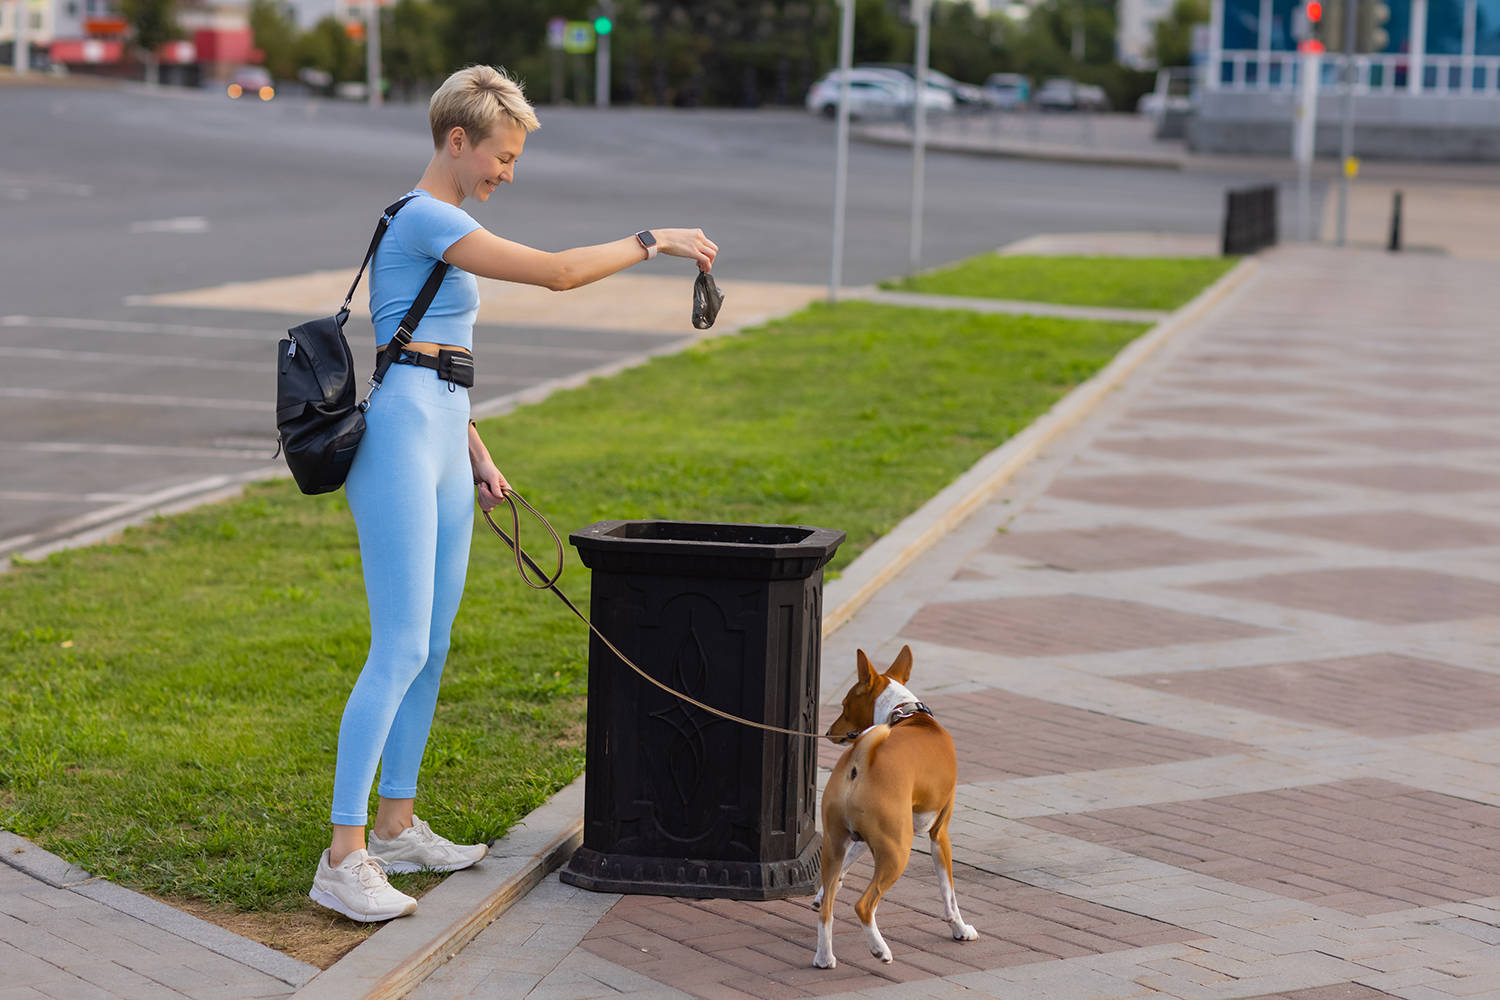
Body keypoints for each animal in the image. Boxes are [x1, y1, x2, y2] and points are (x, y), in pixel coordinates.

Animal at [816, 644, 978, 965]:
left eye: (844, 704)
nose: (828, 732)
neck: (904, 713)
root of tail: (859, 761)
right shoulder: (939, 834)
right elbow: (949, 894)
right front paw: (960, 928)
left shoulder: (862, 838)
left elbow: (844, 869)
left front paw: (822, 891)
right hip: (898, 850)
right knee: (864, 905)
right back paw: (880, 949)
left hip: (840, 843)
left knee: (828, 908)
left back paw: (824, 957)